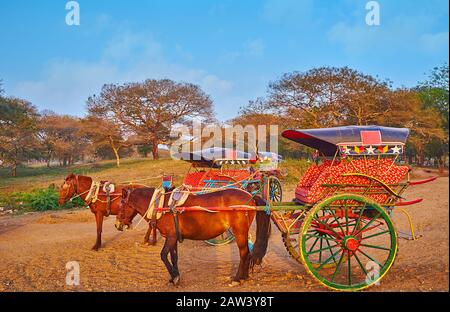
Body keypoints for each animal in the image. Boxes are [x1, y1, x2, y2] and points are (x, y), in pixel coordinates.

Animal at [116, 186, 270, 286]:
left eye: (120, 205)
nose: (117, 225)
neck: (161, 206)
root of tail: (250, 196)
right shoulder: (173, 238)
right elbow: (174, 257)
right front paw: (175, 276)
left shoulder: (171, 237)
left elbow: (163, 255)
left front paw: (174, 278)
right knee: (247, 254)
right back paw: (245, 276)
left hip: (239, 231)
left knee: (244, 254)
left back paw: (238, 278)